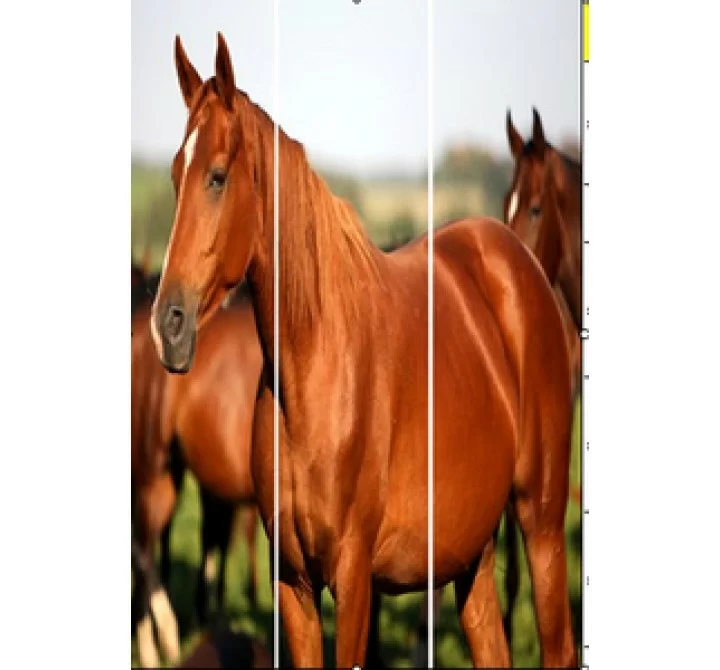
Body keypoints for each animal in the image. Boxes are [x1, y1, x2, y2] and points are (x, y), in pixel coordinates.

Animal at [149, 33, 577, 667]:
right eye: (177, 175)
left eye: (218, 176)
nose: (167, 326)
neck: (313, 369)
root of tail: (518, 265)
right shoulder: (293, 584)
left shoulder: (352, 581)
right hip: (472, 554)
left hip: (542, 523)